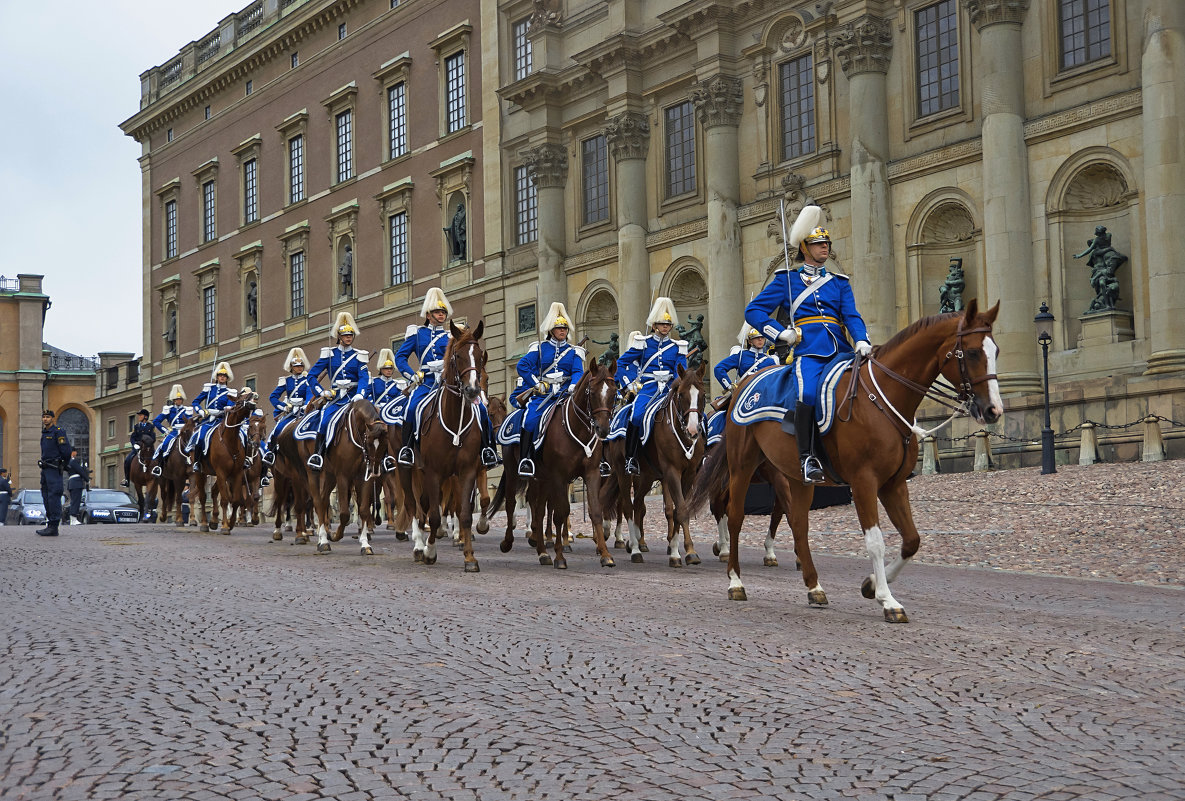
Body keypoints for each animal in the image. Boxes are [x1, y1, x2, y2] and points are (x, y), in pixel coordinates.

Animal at [191, 393, 257, 530]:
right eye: (240, 399)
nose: (253, 396)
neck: (229, 441)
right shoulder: (221, 473)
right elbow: (226, 500)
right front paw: (225, 526)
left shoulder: (237, 474)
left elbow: (236, 500)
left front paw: (231, 523)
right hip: (201, 474)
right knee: (203, 497)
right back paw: (204, 523)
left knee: (214, 492)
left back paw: (214, 520)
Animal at [400, 319, 488, 568]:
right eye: (457, 355)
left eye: (479, 355)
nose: (472, 390)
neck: (453, 419)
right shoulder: (433, 472)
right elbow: (434, 515)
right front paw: (429, 551)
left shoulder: (466, 471)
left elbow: (465, 514)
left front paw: (469, 557)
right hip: (407, 471)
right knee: (414, 507)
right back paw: (419, 546)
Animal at [495, 357, 620, 568]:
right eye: (592, 392)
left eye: (613, 393)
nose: (602, 429)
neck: (577, 430)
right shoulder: (559, 476)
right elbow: (561, 513)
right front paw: (560, 556)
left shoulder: (592, 474)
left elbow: (595, 511)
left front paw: (605, 554)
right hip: (514, 472)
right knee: (512, 503)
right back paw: (507, 542)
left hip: (541, 479)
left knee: (538, 510)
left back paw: (542, 552)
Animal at [601, 360, 701, 566]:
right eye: (682, 394)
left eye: (701, 394)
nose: (693, 430)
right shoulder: (671, 472)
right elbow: (679, 509)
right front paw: (682, 552)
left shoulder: (687, 474)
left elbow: (677, 510)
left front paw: (679, 549)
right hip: (623, 473)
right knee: (627, 506)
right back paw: (634, 549)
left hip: (645, 476)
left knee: (637, 503)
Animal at [687, 300, 1000, 620]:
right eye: (972, 352)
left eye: (996, 351)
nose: (993, 410)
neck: (882, 400)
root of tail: (745, 384)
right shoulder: (864, 482)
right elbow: (875, 542)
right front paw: (887, 599)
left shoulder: (894, 483)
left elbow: (912, 540)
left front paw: (871, 585)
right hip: (742, 467)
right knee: (734, 515)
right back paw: (735, 580)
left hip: (795, 476)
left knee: (797, 521)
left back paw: (814, 586)